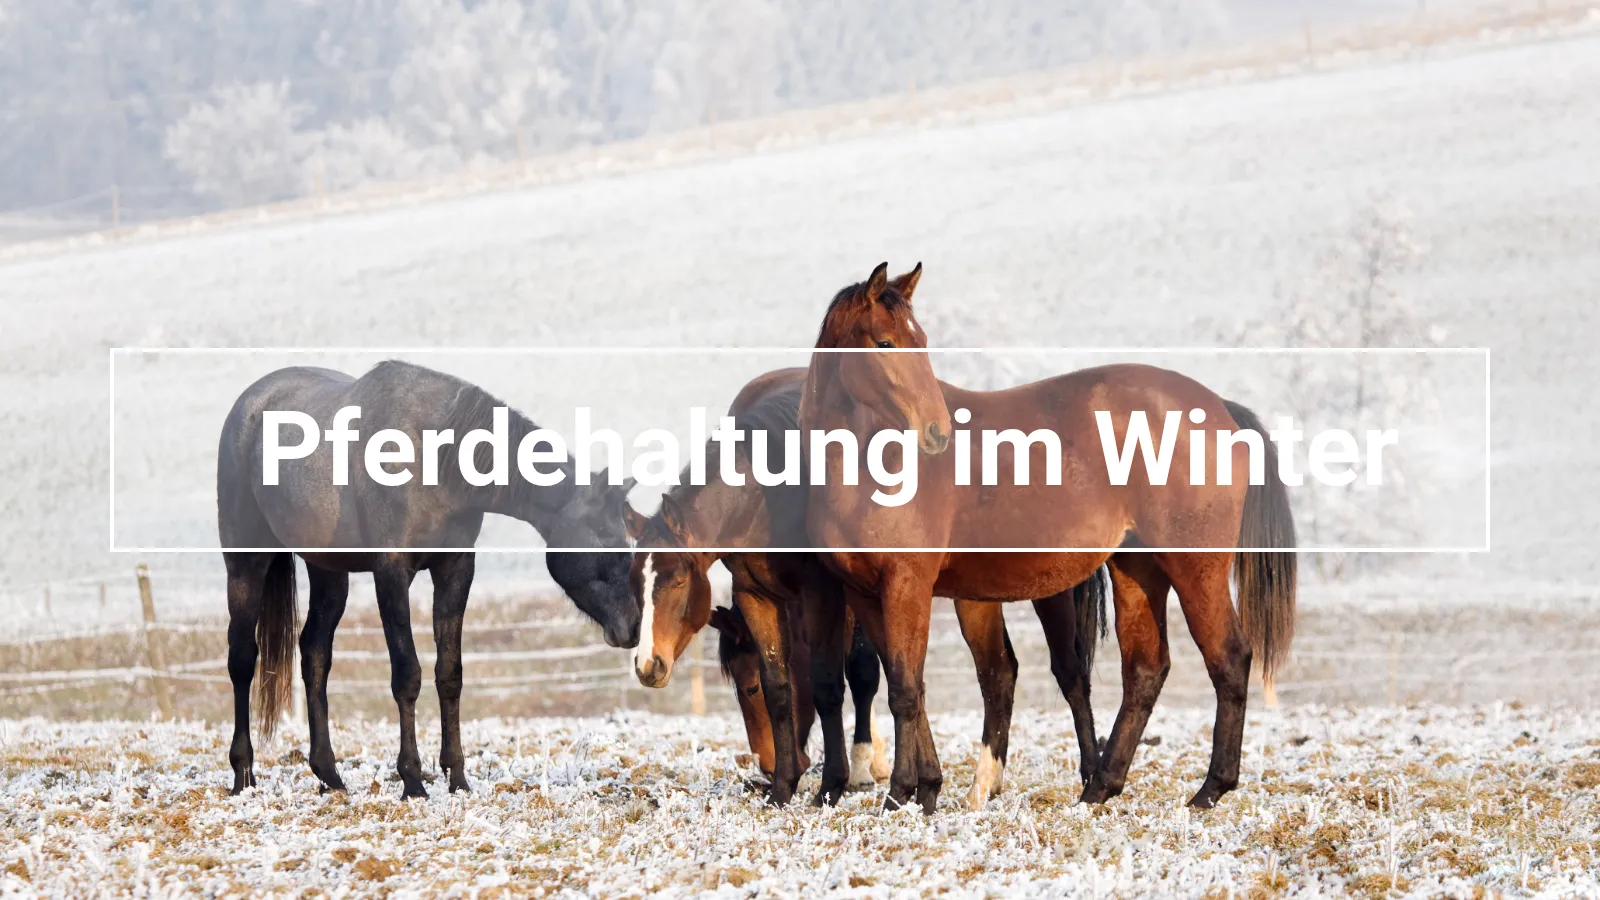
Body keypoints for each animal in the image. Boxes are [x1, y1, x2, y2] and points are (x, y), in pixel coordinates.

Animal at [217, 360, 638, 798]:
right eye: (609, 542)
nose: (631, 627)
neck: (436, 459)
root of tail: (250, 405)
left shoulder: (455, 569)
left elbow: (449, 674)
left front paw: (457, 778)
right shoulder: (391, 572)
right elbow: (408, 675)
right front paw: (413, 781)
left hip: (329, 573)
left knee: (315, 653)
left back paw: (329, 775)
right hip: (245, 565)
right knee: (242, 659)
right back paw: (243, 774)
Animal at [624, 369, 1107, 808]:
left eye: (677, 580)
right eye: (634, 581)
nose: (648, 665)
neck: (765, 494)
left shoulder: (826, 594)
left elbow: (837, 681)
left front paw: (838, 781)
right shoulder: (757, 596)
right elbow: (791, 686)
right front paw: (784, 789)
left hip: (1045, 591)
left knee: (1064, 672)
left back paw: (1088, 775)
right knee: (997, 672)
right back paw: (986, 784)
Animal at [801, 263, 1297, 813]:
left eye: (921, 341)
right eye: (885, 342)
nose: (937, 432)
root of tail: (1221, 409)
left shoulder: (907, 586)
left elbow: (907, 688)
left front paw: (901, 796)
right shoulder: (864, 593)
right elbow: (903, 679)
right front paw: (926, 788)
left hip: (1195, 570)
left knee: (1228, 659)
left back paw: (1210, 789)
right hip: (1136, 570)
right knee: (1145, 670)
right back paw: (1100, 787)